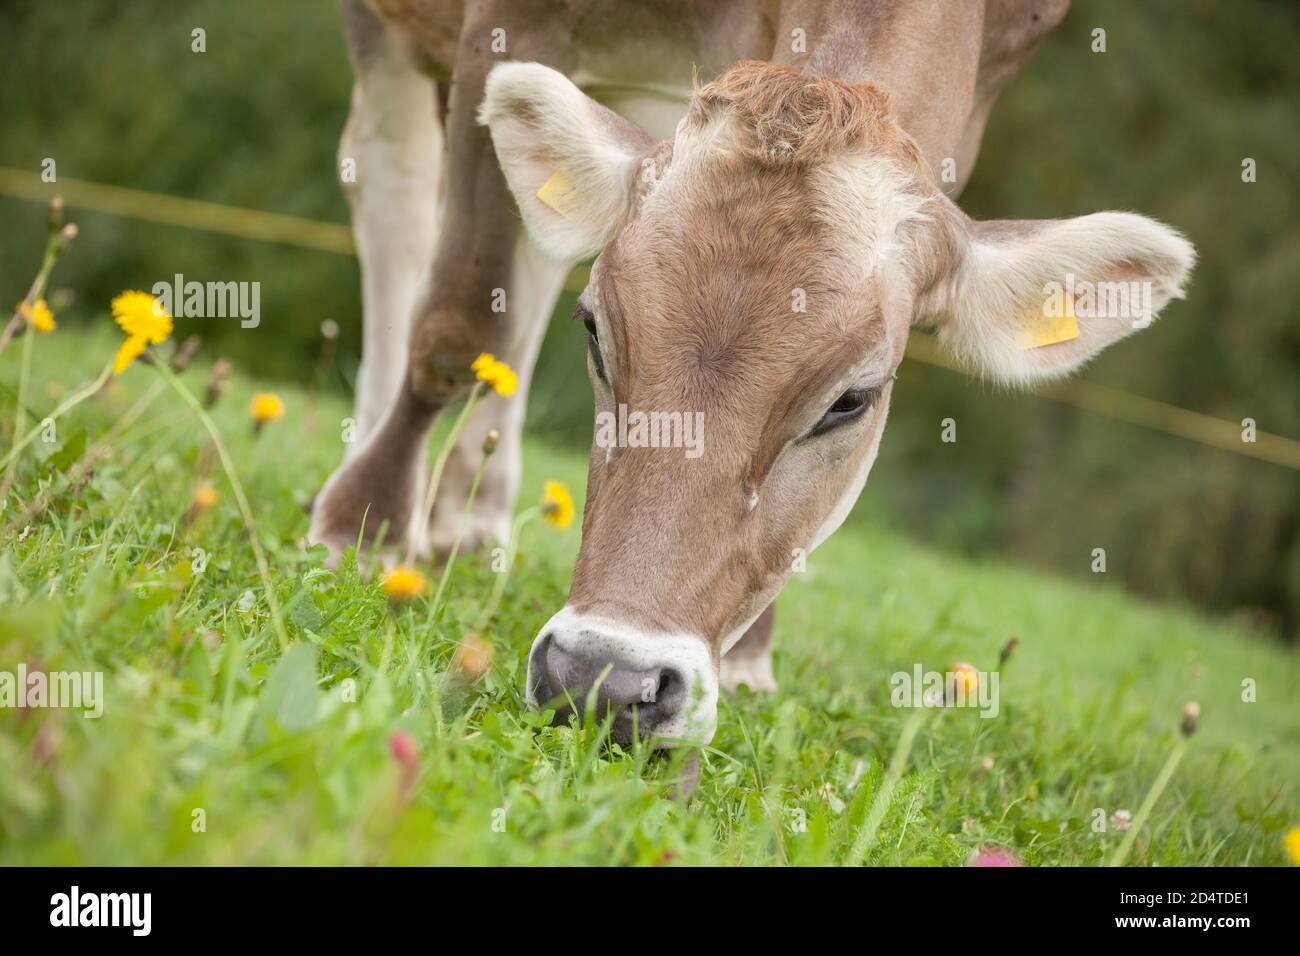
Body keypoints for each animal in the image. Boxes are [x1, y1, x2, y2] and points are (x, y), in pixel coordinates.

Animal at [309, 0, 1194, 749]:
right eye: (595, 332)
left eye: (852, 400)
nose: (601, 680)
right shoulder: (509, 25)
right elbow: (459, 326)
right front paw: (364, 524)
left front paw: (747, 658)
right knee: (393, 187)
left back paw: (470, 512)